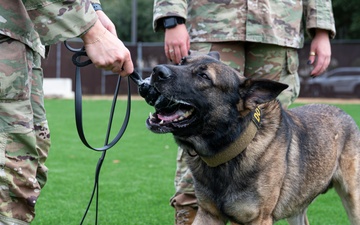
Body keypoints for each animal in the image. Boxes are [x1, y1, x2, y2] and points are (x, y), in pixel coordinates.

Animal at [139, 51, 360, 224]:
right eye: (182, 61)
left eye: (203, 76)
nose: (157, 71)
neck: (230, 150)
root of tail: (345, 114)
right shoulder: (208, 215)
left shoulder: (258, 219)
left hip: (353, 200)